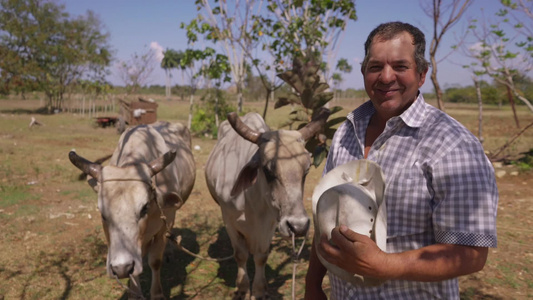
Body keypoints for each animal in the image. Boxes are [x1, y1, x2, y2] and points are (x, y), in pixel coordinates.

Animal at [68, 120, 195, 298]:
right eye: (102, 213)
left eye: (144, 208)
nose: (121, 268)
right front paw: (134, 293)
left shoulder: (163, 224)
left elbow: (155, 261)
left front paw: (157, 294)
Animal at [204, 109, 328, 298]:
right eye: (268, 170)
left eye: (306, 170)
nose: (298, 227)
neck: (251, 200)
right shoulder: (229, 220)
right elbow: (240, 255)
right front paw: (242, 288)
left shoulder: (270, 224)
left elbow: (261, 256)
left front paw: (259, 290)